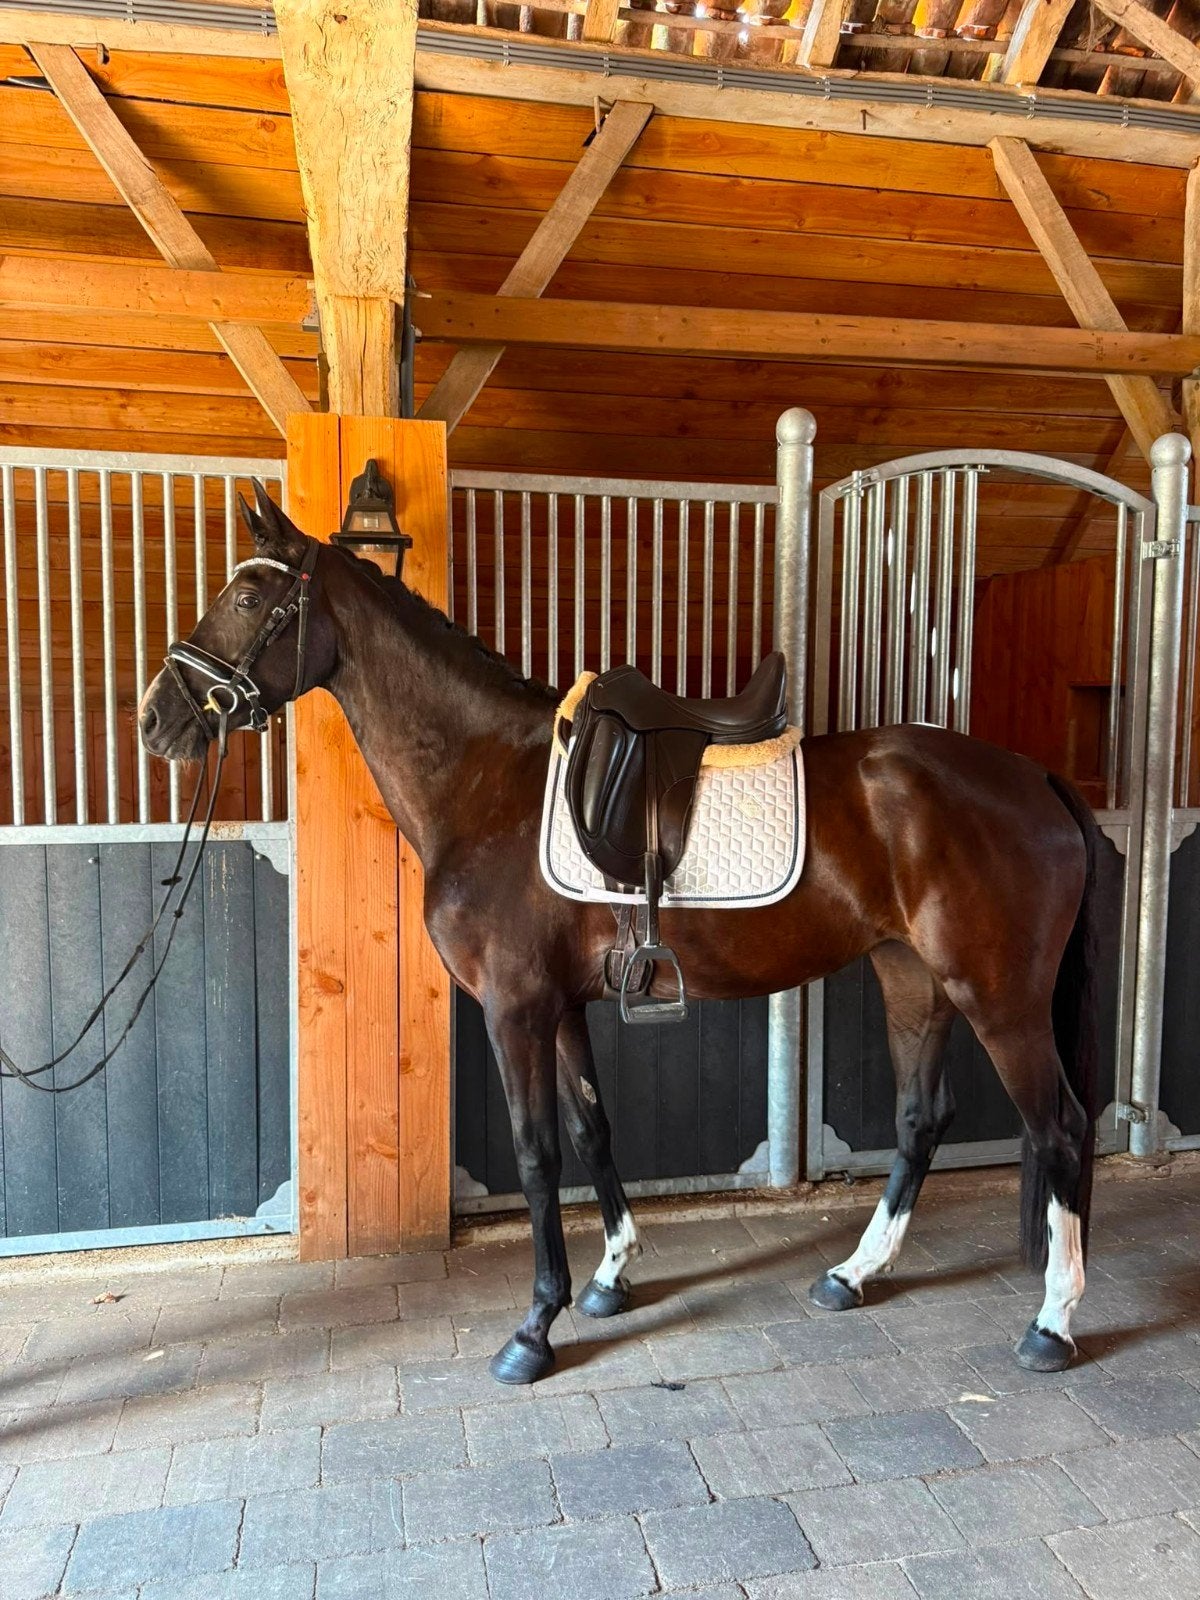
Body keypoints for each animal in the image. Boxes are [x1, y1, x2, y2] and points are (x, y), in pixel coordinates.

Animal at [138, 485, 1099, 1386]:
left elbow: (536, 1154)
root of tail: (1034, 777)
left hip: (998, 996)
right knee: (920, 1119)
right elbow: (593, 1131)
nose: (156, 719)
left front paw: (535, 1327)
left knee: (1060, 1127)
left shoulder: (515, 1010)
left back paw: (1052, 1322)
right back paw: (854, 1274)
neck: (487, 781)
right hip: (911, 976)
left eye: (250, 598)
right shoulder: (561, 1006)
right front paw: (610, 1277)